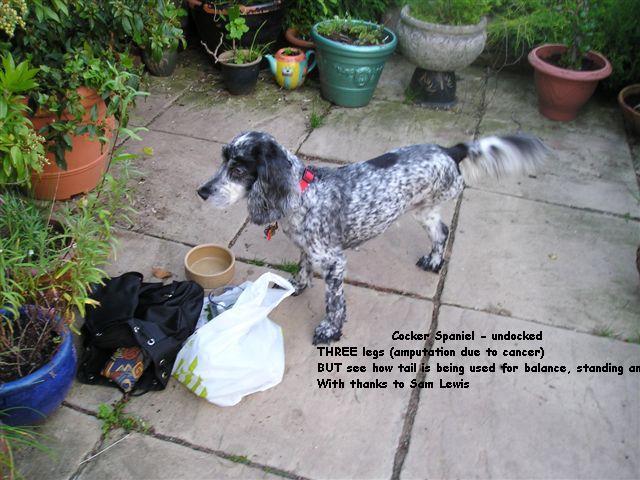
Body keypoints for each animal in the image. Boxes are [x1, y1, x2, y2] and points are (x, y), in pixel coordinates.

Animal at [197, 131, 547, 344]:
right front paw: (295, 285)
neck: (304, 192)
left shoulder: (334, 262)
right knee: (442, 231)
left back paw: (434, 261)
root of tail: (450, 150)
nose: (202, 191)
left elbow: (334, 302)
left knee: (443, 232)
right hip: (424, 210)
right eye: (223, 160)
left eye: (238, 169)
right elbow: (303, 267)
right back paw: (434, 261)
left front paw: (329, 330)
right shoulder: (308, 249)